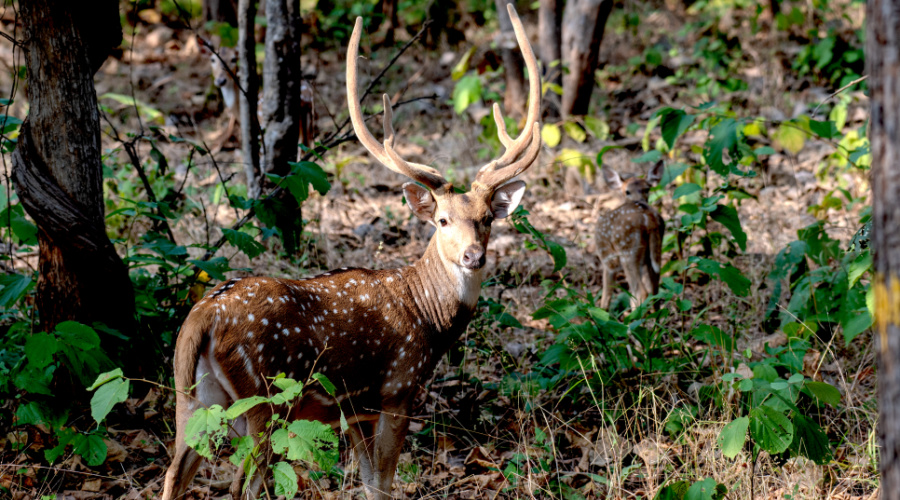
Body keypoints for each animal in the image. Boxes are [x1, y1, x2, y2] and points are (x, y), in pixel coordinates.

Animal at [162, 4, 536, 500]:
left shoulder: (354, 407)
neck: (428, 315)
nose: (473, 256)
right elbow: (385, 481)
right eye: (441, 220)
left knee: (174, 474)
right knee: (244, 483)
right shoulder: (398, 389)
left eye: (488, 219)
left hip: (194, 399)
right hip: (264, 396)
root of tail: (200, 319)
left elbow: (369, 481)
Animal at [596, 161, 668, 308]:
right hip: (654, 252)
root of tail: (650, 219)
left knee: (640, 292)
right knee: (654, 291)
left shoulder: (607, 258)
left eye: (647, 189)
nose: (641, 200)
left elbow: (606, 296)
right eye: (627, 191)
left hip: (627, 251)